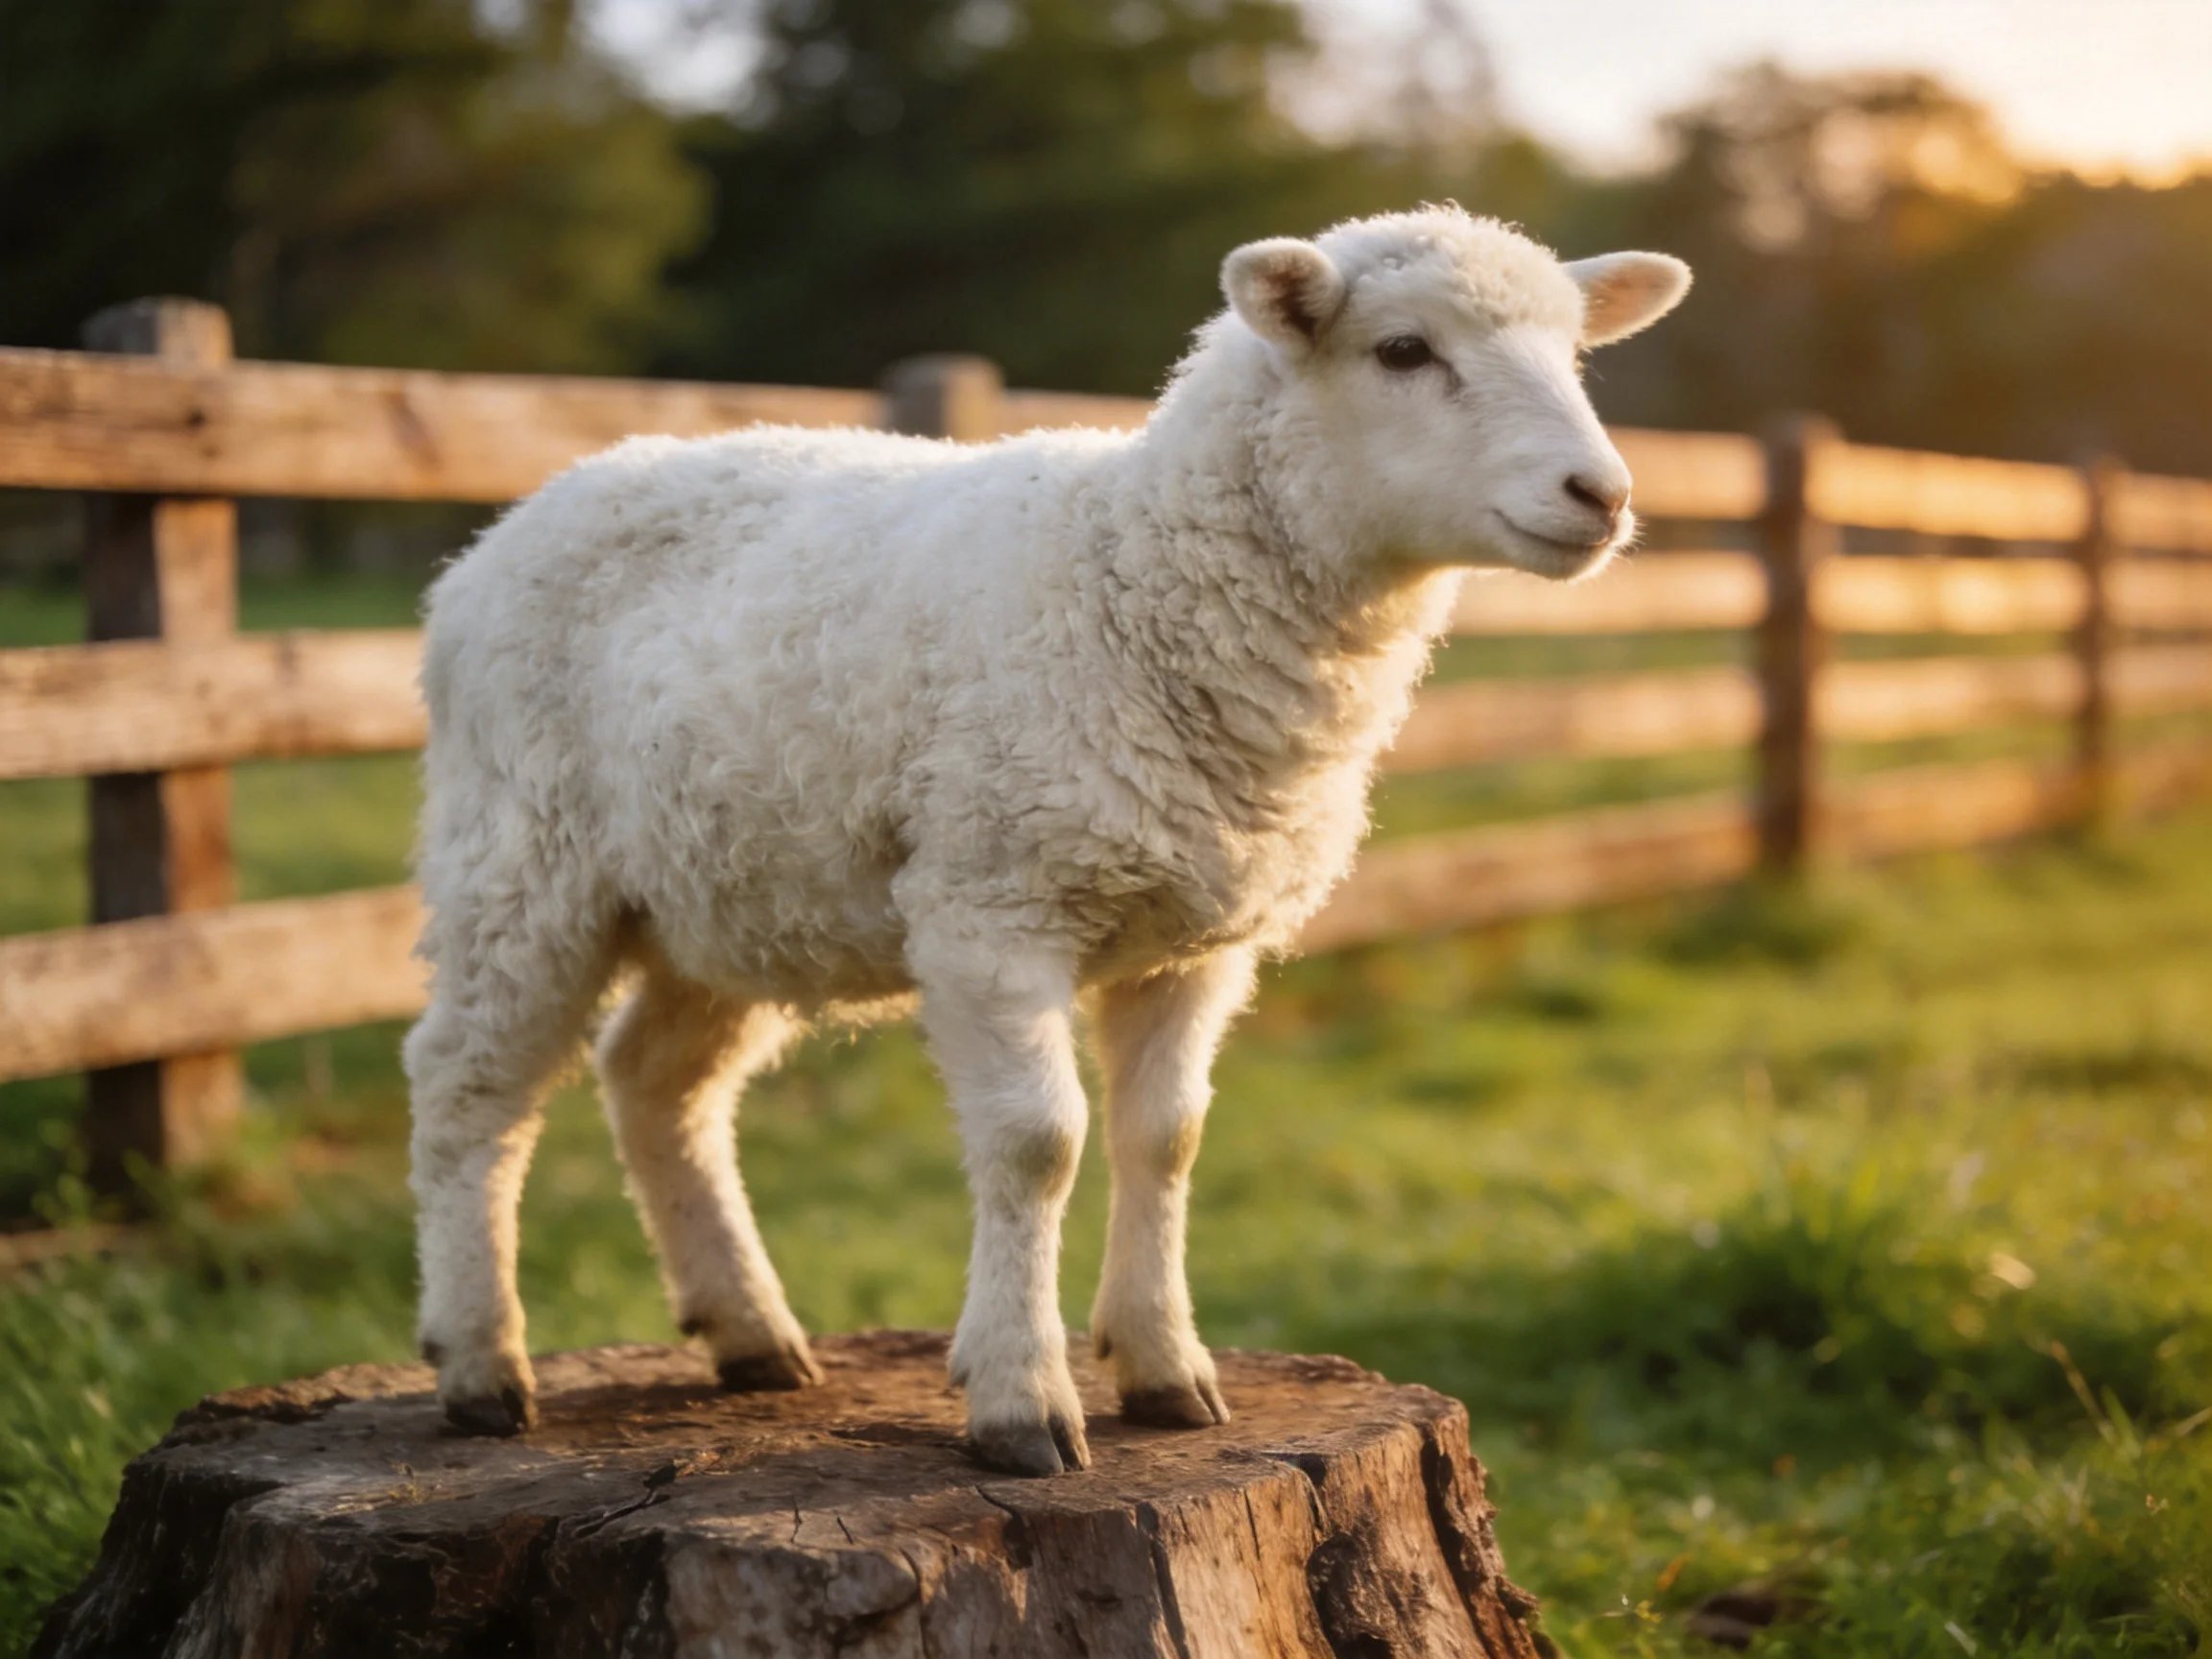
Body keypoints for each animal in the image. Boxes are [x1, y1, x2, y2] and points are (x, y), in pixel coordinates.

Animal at [406, 204, 1691, 1475]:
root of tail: (532, 510)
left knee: (655, 1083)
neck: (1141, 572)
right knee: (466, 1084)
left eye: (1574, 354)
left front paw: (1167, 1368)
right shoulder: (991, 905)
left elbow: (1166, 1137)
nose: (1603, 495)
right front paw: (1022, 1398)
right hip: (522, 861)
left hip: (726, 890)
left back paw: (752, 1333)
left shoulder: (1199, 936)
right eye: (1404, 351)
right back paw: (481, 1363)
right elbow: (1040, 1144)